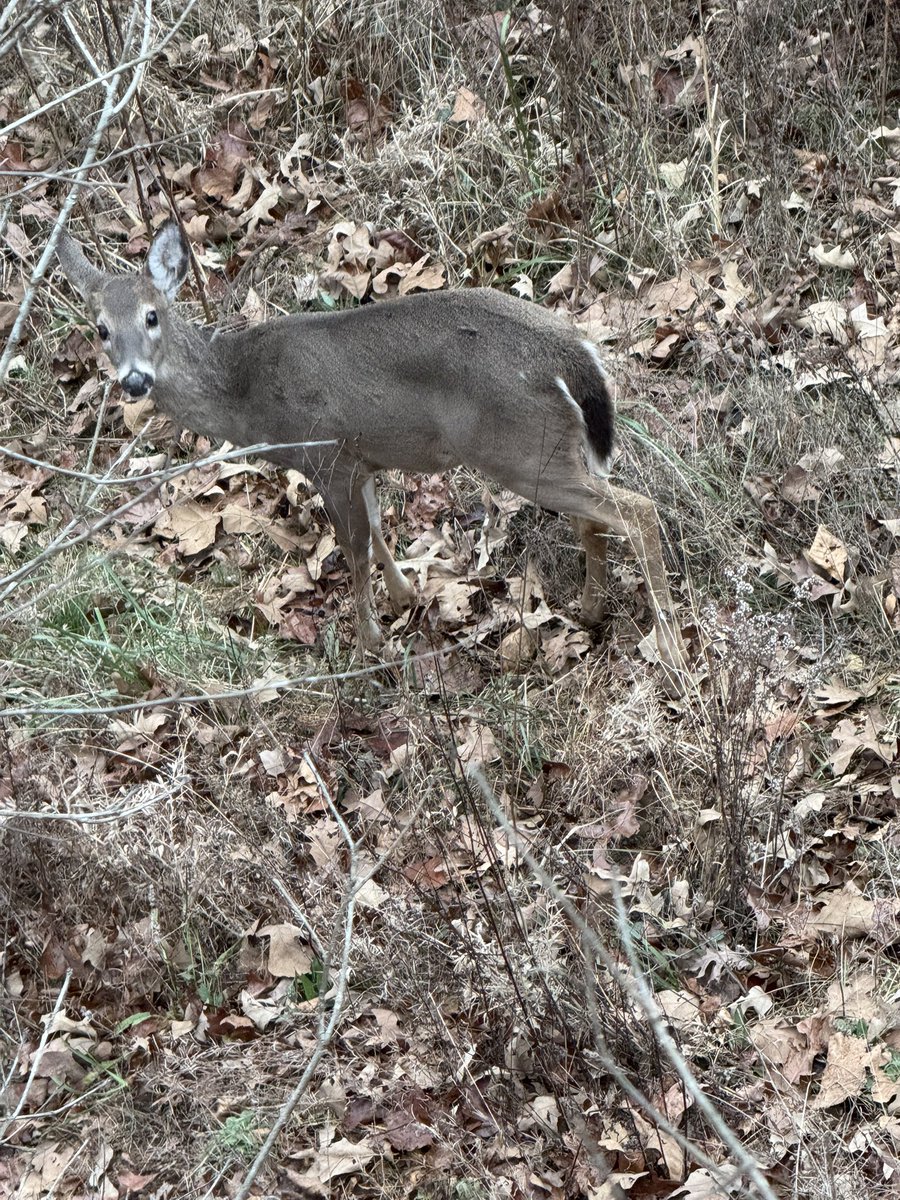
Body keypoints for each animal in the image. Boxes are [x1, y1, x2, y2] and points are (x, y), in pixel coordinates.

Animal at [56, 220, 688, 690]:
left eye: (152, 315)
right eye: (100, 328)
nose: (134, 380)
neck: (247, 392)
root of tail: (573, 352)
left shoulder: (325, 453)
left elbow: (353, 546)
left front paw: (369, 643)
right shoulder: (360, 456)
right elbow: (379, 527)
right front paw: (405, 595)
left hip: (517, 449)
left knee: (637, 510)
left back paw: (672, 649)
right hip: (554, 449)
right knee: (596, 518)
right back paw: (591, 611)